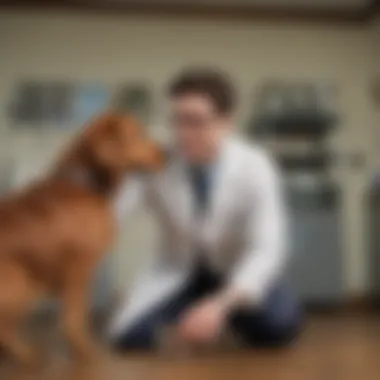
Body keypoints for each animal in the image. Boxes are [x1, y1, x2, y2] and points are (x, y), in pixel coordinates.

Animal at [0, 112, 165, 366]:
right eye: (138, 133)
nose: (167, 154)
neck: (83, 182)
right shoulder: (78, 269)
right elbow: (74, 318)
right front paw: (85, 352)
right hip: (22, 282)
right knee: (5, 328)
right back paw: (28, 355)